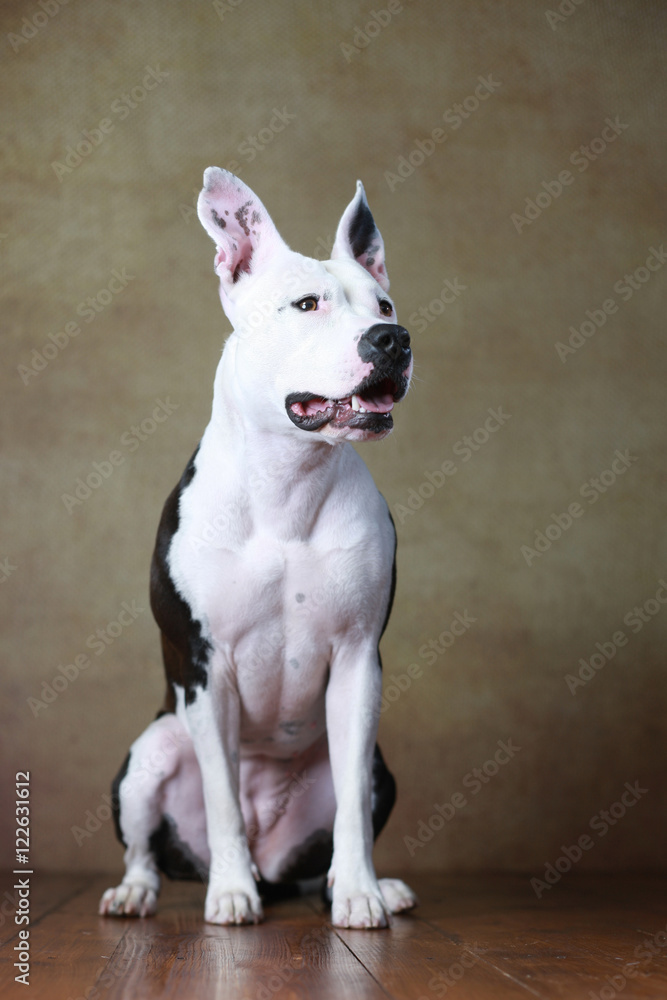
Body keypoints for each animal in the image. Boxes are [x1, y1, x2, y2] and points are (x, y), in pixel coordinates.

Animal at [98, 168, 418, 924]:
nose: (391, 339)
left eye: (385, 303)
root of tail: (274, 859)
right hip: (149, 754)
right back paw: (145, 889)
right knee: (148, 845)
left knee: (336, 832)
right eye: (306, 304)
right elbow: (220, 799)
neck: (287, 484)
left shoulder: (358, 661)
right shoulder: (206, 668)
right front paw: (230, 894)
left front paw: (359, 893)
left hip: (378, 767)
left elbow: (352, 812)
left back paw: (364, 886)